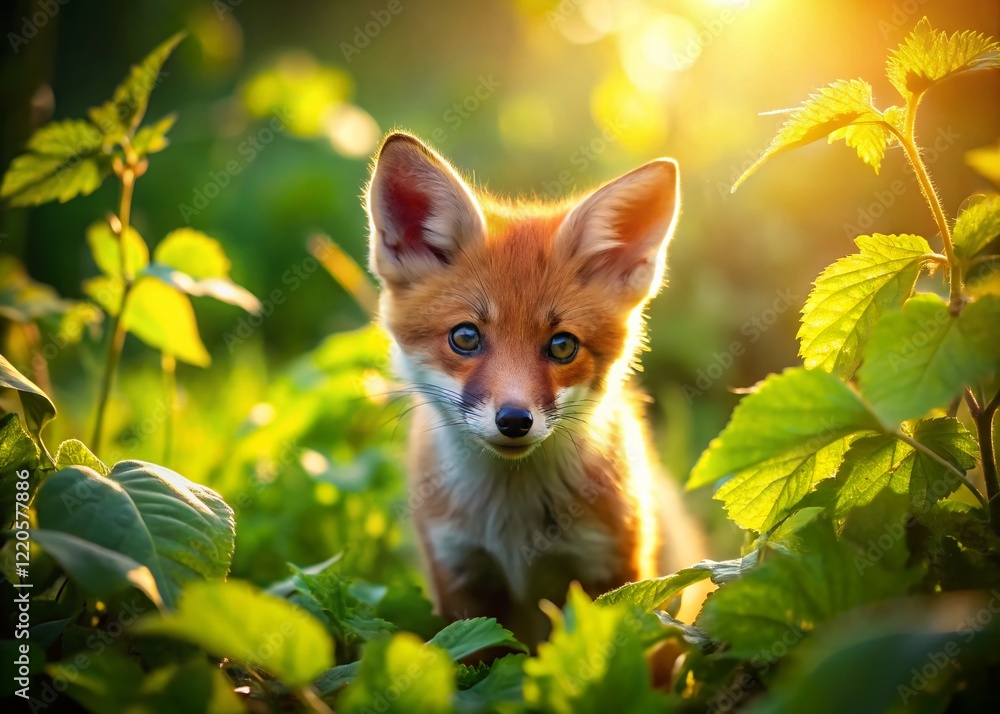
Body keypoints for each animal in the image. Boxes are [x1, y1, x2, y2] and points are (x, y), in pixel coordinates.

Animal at [366, 131, 709, 652]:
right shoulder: (459, 575)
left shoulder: (616, 572)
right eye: (465, 337)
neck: (514, 527)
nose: (514, 420)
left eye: (562, 346)